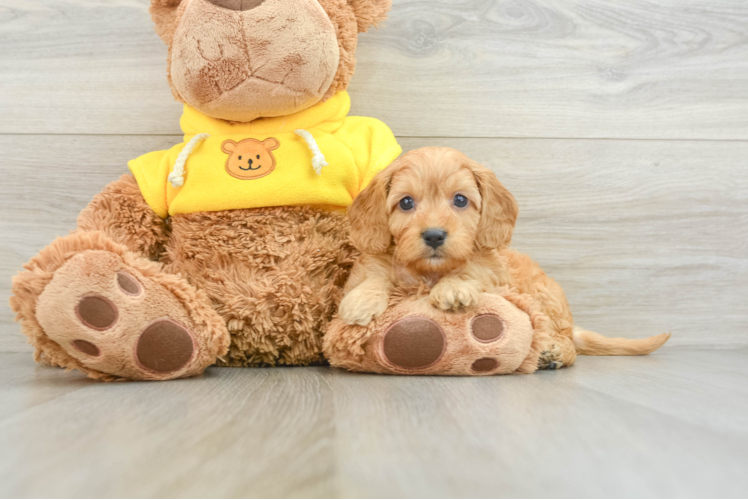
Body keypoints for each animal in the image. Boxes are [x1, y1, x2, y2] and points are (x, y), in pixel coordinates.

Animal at [338, 146, 668, 370]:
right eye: (406, 203)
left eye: (460, 200)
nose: (433, 236)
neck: (429, 272)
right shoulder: (372, 266)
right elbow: (375, 277)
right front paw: (361, 300)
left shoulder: (494, 275)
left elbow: (472, 271)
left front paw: (454, 287)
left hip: (544, 299)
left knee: (563, 341)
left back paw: (553, 352)